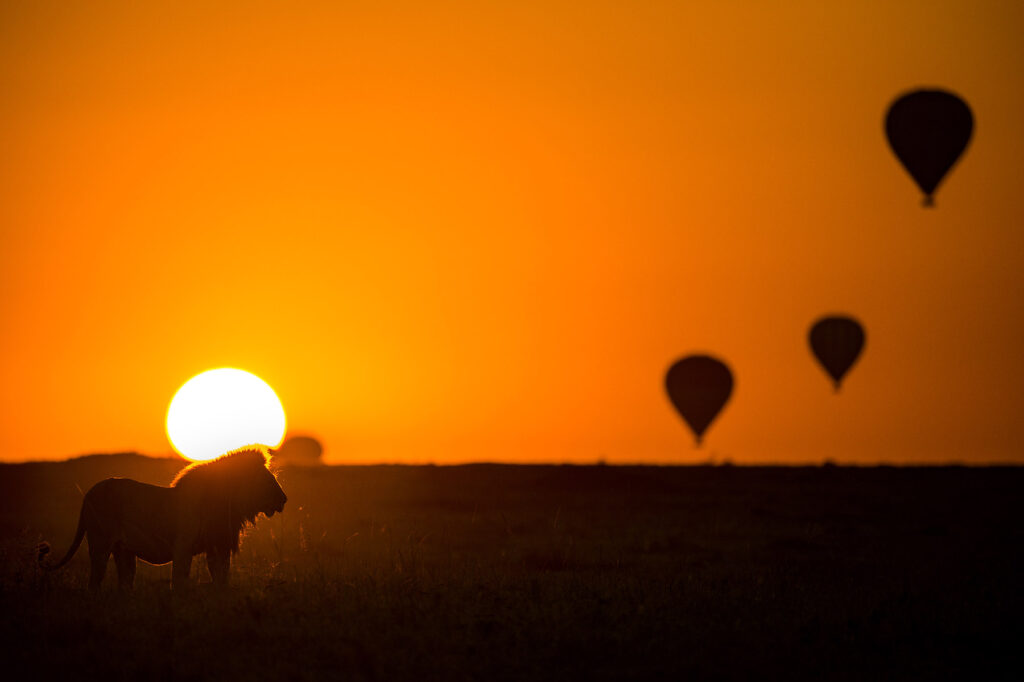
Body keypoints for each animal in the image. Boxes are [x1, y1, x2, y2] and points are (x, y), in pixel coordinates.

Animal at [38, 444, 288, 585]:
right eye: (265, 478)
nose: (284, 499)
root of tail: (89, 494)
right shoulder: (183, 546)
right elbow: (179, 582)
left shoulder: (217, 546)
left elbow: (221, 579)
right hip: (100, 544)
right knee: (94, 582)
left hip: (124, 552)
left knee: (124, 584)